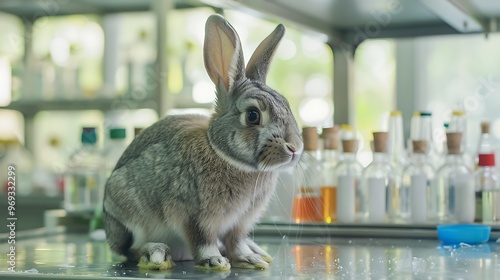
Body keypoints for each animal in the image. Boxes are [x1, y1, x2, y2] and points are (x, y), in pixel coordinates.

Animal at [103, 13, 302, 272]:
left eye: (287, 105)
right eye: (252, 115)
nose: (295, 148)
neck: (224, 154)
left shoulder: (240, 222)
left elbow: (236, 241)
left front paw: (249, 259)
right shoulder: (194, 216)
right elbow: (203, 240)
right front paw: (214, 261)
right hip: (127, 212)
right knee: (130, 250)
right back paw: (156, 254)